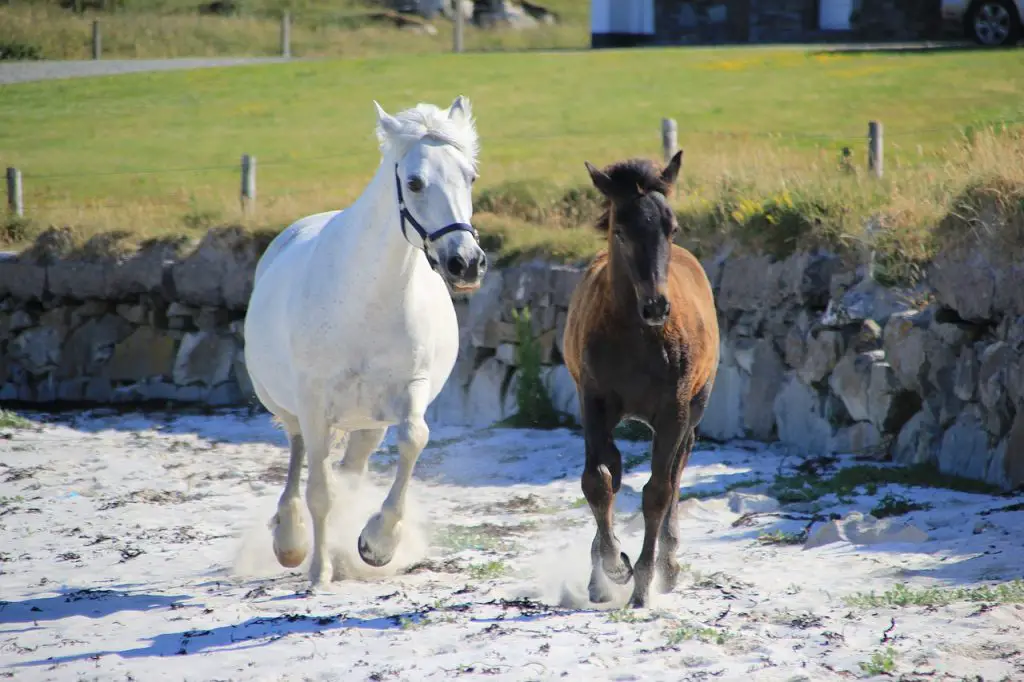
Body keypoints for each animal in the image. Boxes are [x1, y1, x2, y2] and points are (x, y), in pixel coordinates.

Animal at [245, 95, 489, 585]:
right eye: (414, 182)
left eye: (470, 176)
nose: (467, 263)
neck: (365, 300)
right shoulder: (315, 402)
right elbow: (319, 489)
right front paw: (318, 572)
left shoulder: (409, 391)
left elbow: (414, 438)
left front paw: (377, 543)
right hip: (292, 407)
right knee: (299, 453)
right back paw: (291, 541)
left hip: (366, 423)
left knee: (350, 470)